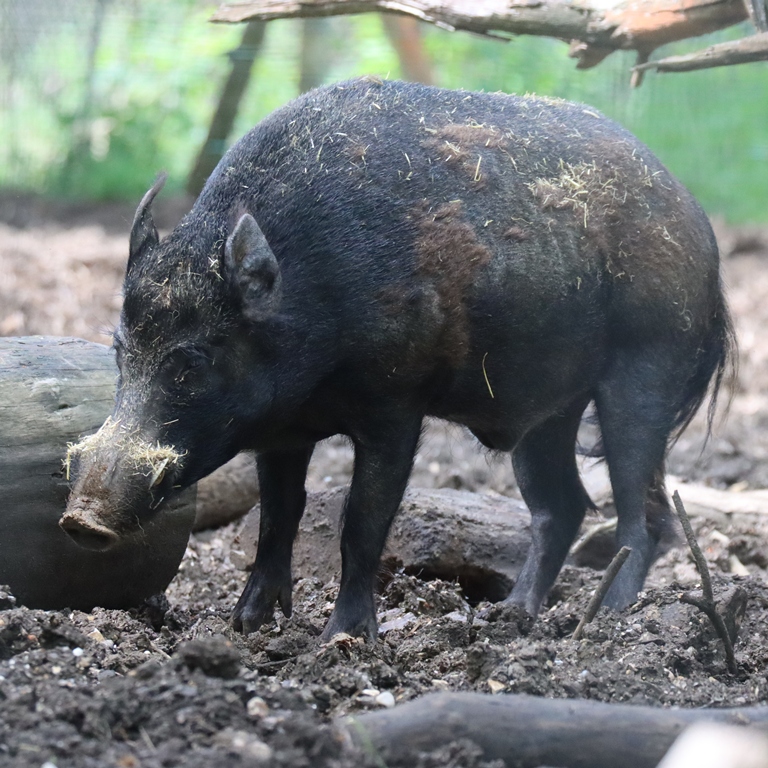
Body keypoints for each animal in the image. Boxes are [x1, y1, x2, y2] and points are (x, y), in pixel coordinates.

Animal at [61, 77, 733, 640]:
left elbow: (362, 522)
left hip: (648, 369)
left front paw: (341, 641)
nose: (81, 521)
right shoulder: (282, 432)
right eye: (121, 351)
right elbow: (278, 516)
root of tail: (702, 231)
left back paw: (609, 620)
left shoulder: (395, 406)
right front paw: (245, 627)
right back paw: (511, 617)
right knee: (560, 507)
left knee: (644, 512)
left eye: (190, 362)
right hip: (548, 412)